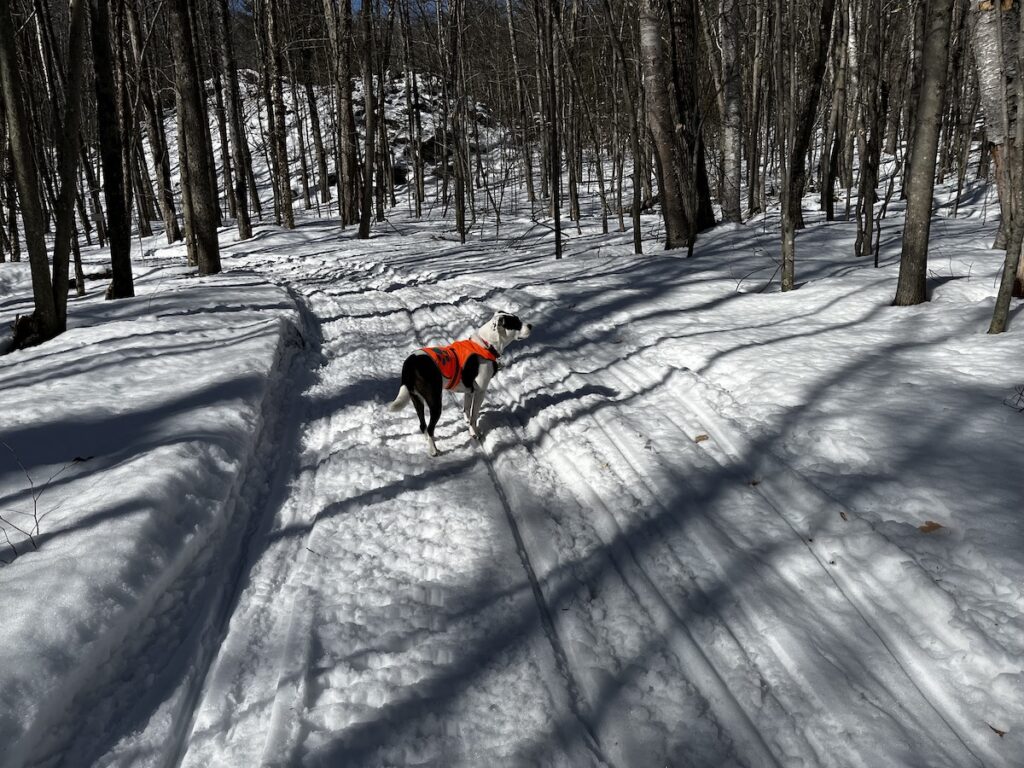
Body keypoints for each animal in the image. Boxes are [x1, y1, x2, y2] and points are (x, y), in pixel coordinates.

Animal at [389, 313, 536, 456]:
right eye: (515, 323)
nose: (530, 325)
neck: (486, 344)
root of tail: (410, 364)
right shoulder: (480, 392)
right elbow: (474, 416)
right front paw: (475, 433)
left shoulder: (469, 392)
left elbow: (466, 411)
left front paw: (469, 427)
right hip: (435, 402)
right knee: (430, 428)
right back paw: (434, 451)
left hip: (416, 399)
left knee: (423, 426)